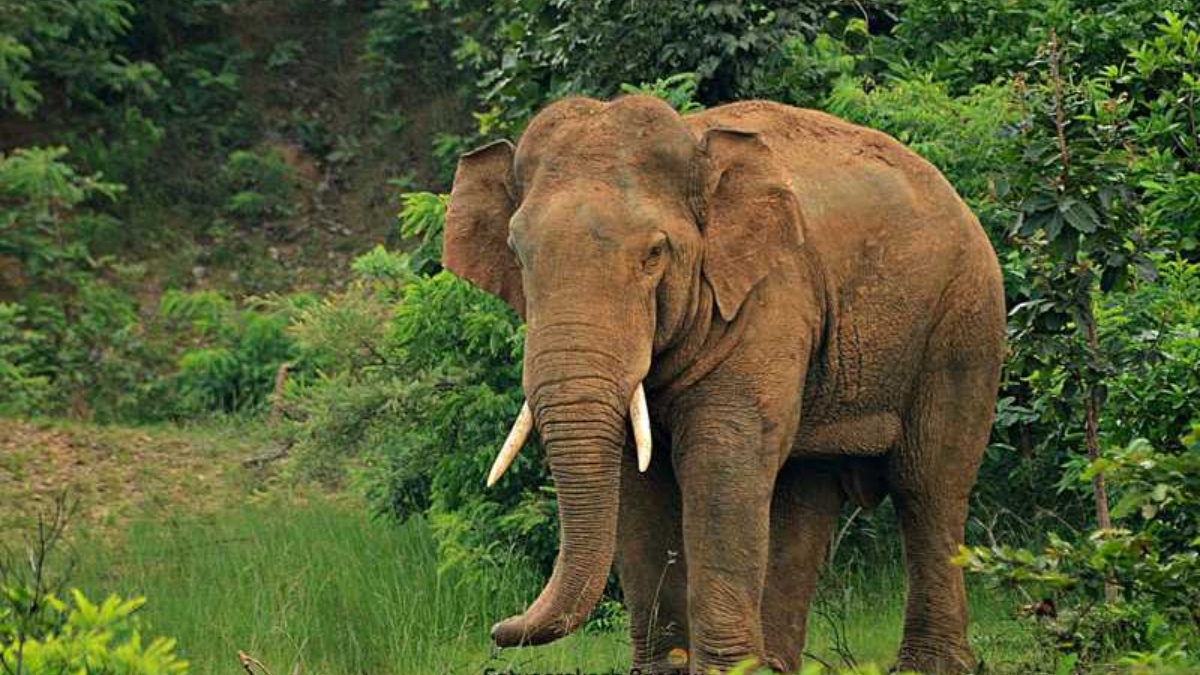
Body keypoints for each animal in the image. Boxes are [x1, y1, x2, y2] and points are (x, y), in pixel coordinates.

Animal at [442, 95, 1006, 674]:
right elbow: (637, 483)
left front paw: (725, 671)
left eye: (655, 254)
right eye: (517, 253)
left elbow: (722, 458)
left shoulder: (771, 294)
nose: (498, 629)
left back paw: (927, 665)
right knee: (804, 490)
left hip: (965, 318)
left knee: (927, 483)